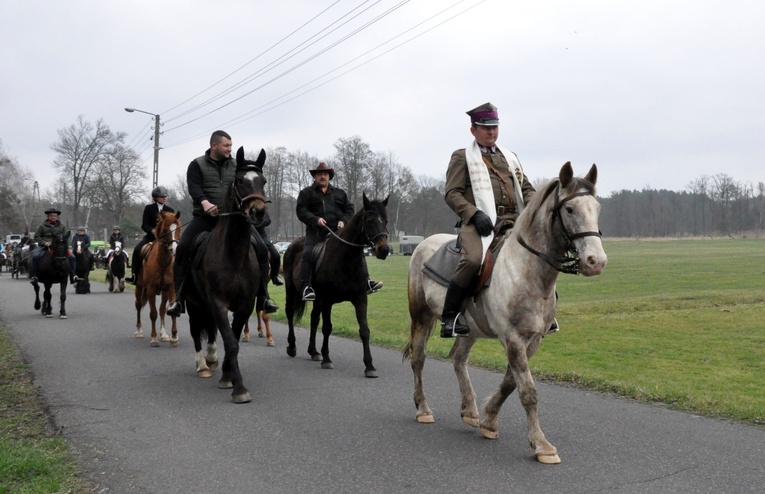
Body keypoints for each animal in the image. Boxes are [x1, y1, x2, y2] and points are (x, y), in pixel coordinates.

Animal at [135, 212, 181, 348]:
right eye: (165, 230)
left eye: (178, 228)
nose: (174, 249)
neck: (163, 262)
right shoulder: (150, 289)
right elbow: (153, 313)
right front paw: (154, 338)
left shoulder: (171, 288)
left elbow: (169, 311)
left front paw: (174, 337)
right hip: (139, 287)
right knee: (138, 305)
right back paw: (139, 331)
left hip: (164, 292)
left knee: (162, 310)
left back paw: (164, 334)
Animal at [185, 145, 268, 404]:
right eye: (240, 181)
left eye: (262, 181)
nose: (258, 212)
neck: (233, 255)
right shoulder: (218, 302)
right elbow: (231, 342)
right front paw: (238, 387)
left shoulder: (245, 305)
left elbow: (234, 338)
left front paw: (227, 376)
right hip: (193, 303)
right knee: (195, 331)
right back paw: (202, 365)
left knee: (211, 331)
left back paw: (212, 360)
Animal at [280, 194, 388, 378]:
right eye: (370, 221)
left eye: (386, 220)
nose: (384, 249)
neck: (346, 259)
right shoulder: (327, 300)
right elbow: (327, 328)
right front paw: (327, 359)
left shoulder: (360, 299)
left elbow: (364, 331)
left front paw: (369, 366)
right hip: (292, 290)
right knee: (290, 313)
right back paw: (292, 346)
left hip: (316, 300)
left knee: (314, 319)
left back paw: (313, 351)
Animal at [402, 162, 604, 464]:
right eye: (569, 209)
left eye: (597, 207)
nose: (596, 262)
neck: (527, 270)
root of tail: (423, 246)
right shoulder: (513, 338)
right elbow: (528, 391)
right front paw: (541, 444)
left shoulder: (532, 340)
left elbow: (510, 383)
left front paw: (489, 420)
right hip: (422, 316)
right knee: (418, 358)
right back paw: (423, 409)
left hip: (469, 328)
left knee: (458, 358)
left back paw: (469, 410)